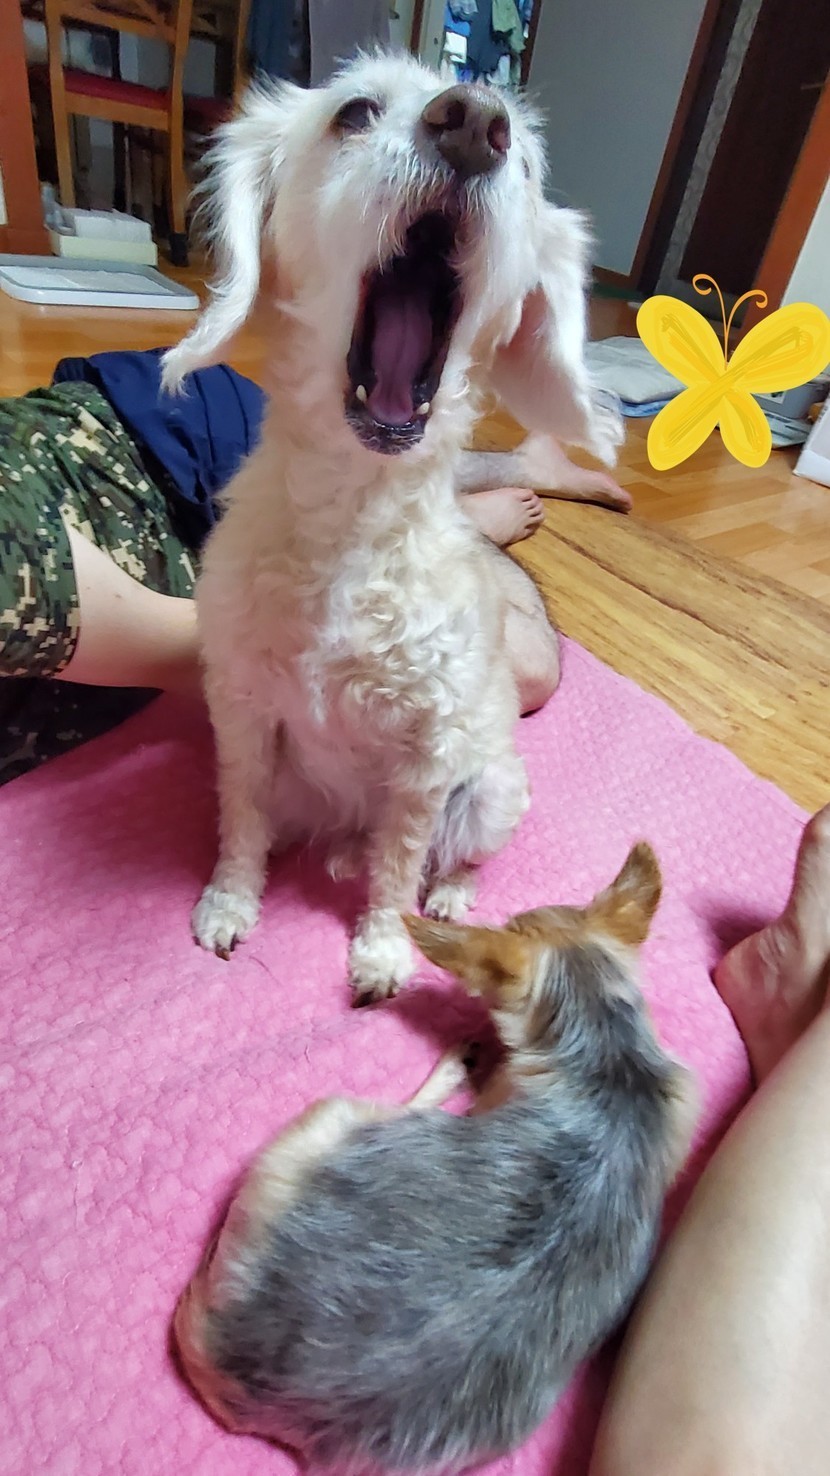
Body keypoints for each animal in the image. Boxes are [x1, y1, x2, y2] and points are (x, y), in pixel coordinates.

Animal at [162, 52, 623, 1001]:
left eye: (526, 164)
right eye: (355, 112)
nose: (474, 120)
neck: (354, 518)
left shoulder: (426, 756)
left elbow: (400, 865)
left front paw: (383, 949)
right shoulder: (243, 716)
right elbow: (240, 825)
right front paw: (229, 904)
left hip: (492, 793)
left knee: (446, 857)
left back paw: (447, 896)